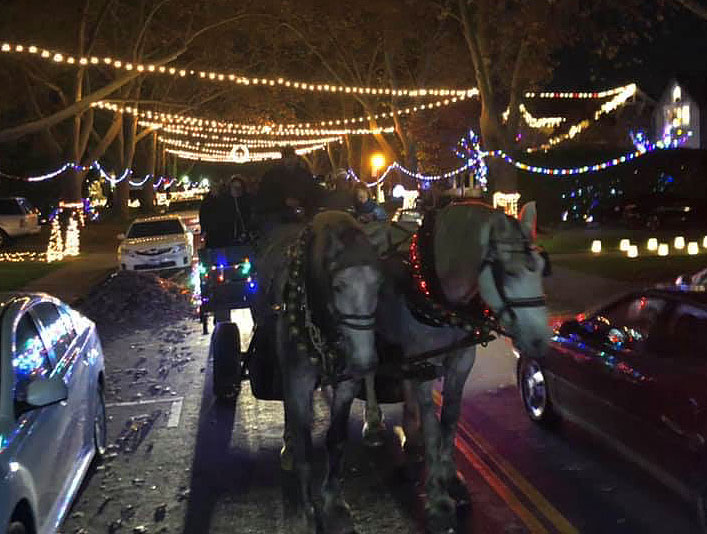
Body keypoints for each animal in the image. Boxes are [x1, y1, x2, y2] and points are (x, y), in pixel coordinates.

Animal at [272, 211, 382, 532]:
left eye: (379, 284)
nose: (364, 361)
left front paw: (333, 499)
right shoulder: (297, 380)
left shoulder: (347, 383)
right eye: (338, 286)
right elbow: (304, 445)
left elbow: (336, 438)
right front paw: (308, 508)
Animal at [362, 202, 552, 534]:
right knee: (369, 371)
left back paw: (411, 438)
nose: (540, 340)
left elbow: (450, 417)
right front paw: (438, 499)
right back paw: (373, 423)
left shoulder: (461, 359)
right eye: (509, 272)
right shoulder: (424, 360)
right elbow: (432, 421)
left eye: (542, 268)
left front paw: (450, 477)